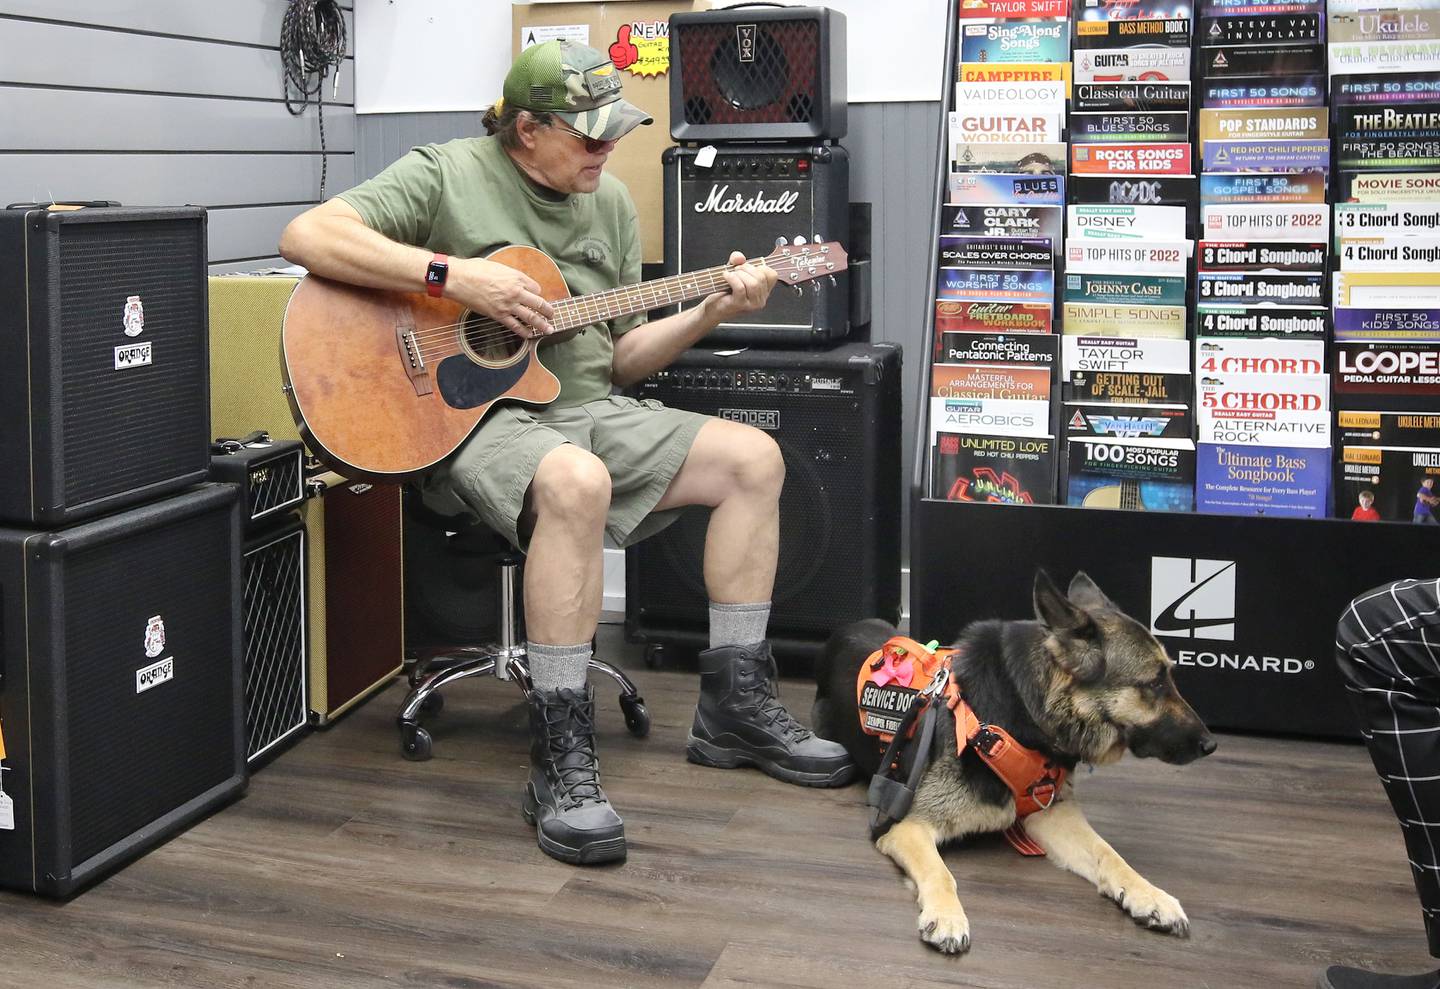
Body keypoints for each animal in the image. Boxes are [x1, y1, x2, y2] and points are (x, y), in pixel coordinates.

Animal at [812, 570, 1215, 955]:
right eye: (1155, 683)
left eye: (1168, 675)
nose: (1211, 744)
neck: (1016, 714)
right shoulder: (904, 826)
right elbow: (941, 873)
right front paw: (947, 917)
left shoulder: (1052, 814)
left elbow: (1110, 854)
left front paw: (1150, 894)